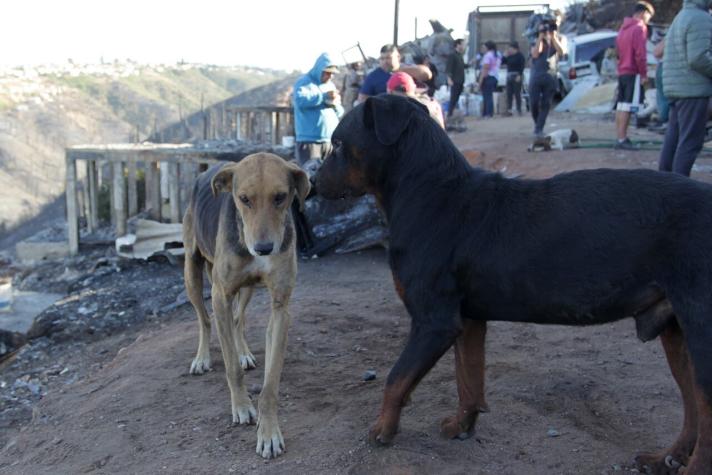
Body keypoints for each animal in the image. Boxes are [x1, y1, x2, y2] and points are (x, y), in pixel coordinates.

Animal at [181, 152, 308, 458]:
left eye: (280, 197)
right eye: (244, 199)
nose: (263, 249)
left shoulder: (280, 307)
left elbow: (270, 384)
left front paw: (269, 432)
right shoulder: (221, 296)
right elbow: (231, 369)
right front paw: (241, 407)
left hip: (248, 288)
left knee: (238, 319)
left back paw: (244, 352)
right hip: (192, 273)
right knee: (204, 320)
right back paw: (202, 358)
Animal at [318, 95, 712, 474]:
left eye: (337, 144)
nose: (314, 183)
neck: (432, 195)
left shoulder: (433, 323)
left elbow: (396, 379)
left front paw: (383, 429)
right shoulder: (468, 321)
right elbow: (468, 378)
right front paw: (462, 426)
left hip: (700, 329)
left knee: (705, 410)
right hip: (676, 332)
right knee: (693, 406)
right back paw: (666, 459)